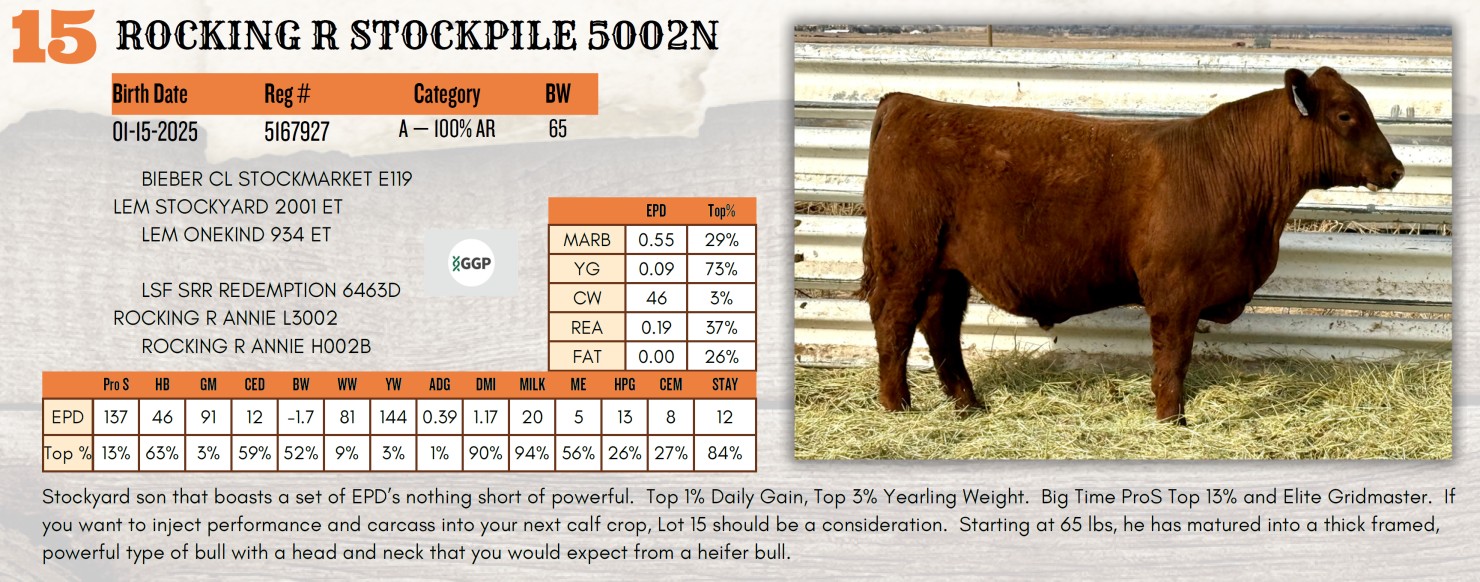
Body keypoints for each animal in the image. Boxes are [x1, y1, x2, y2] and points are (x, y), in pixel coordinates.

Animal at [858, 67, 1405, 424]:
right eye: (1345, 116)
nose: (1396, 169)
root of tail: (907, 102)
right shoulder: (1174, 290)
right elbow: (1174, 357)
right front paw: (1171, 419)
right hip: (907, 257)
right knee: (894, 322)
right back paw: (896, 407)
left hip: (947, 268)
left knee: (939, 326)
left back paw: (968, 405)